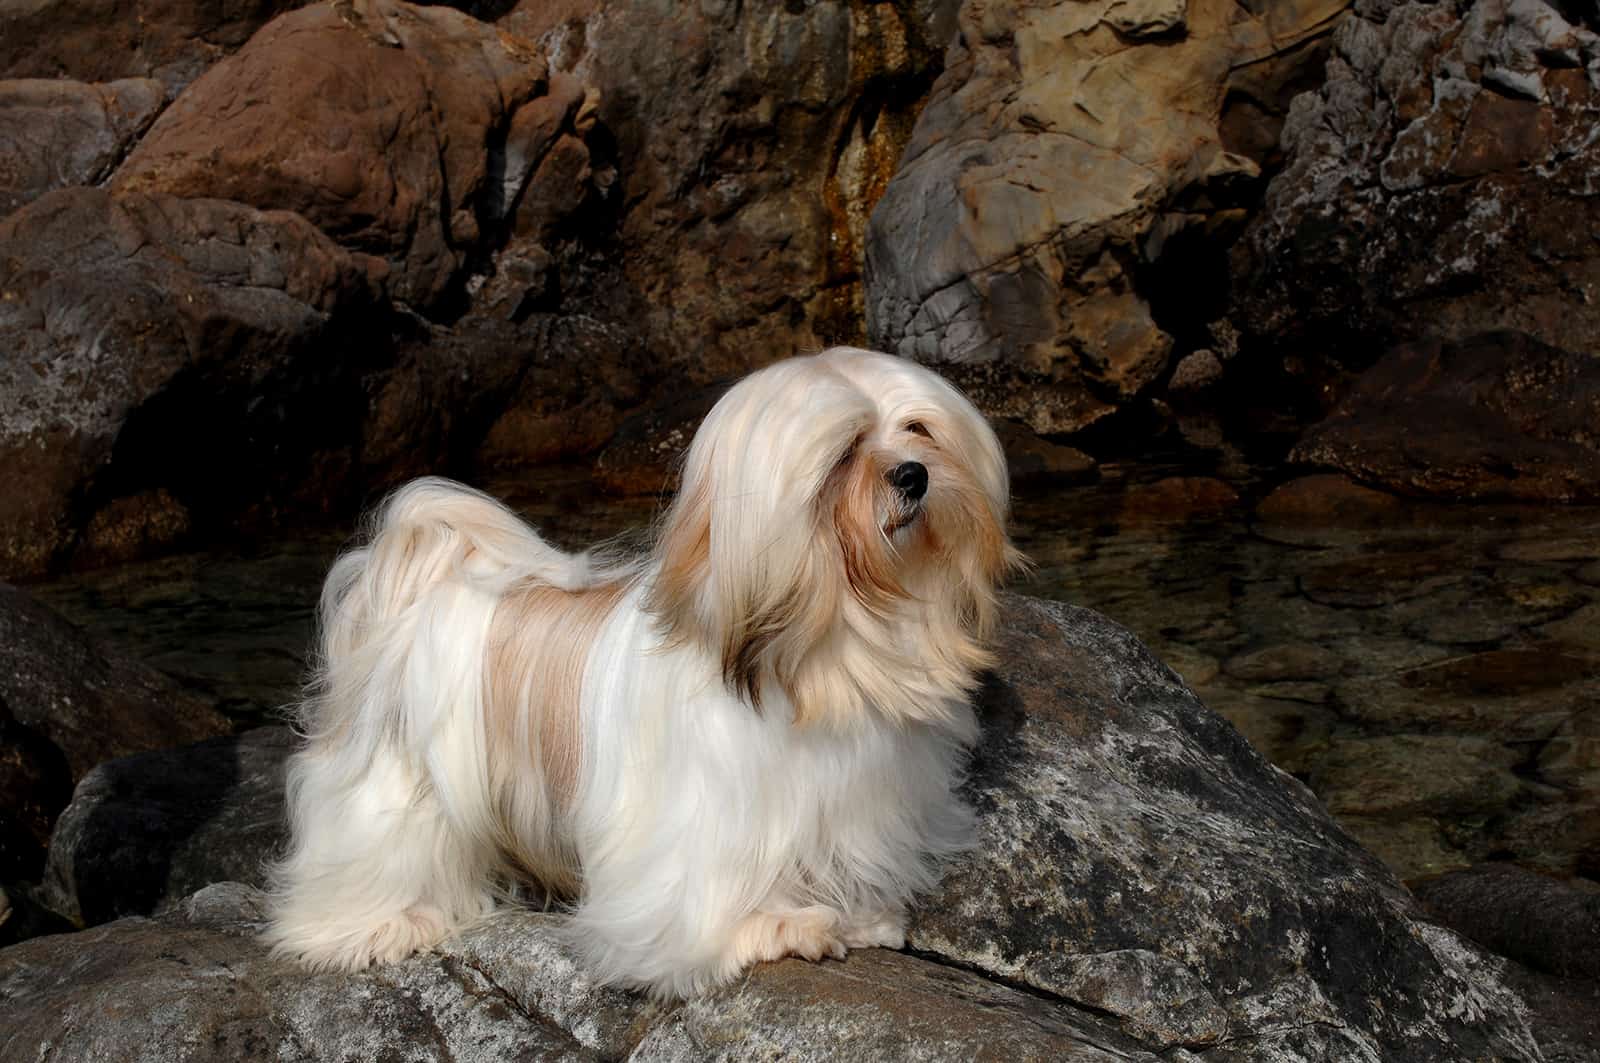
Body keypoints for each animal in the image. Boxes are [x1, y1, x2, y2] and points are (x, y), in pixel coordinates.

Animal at [260, 342, 1011, 998]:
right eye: (847, 450)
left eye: (917, 428)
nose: (913, 473)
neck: (833, 638)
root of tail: (421, 585)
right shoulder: (708, 818)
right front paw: (774, 926)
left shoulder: (854, 799)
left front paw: (858, 916)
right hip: (395, 780)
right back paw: (375, 925)